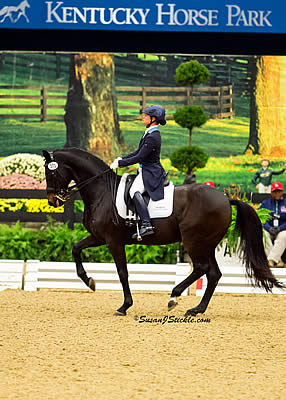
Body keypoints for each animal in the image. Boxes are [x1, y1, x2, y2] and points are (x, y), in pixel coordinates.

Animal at [42, 148, 284, 318]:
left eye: (50, 171)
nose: (53, 200)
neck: (102, 191)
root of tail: (226, 199)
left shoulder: (113, 241)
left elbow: (122, 272)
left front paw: (124, 306)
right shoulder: (99, 237)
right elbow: (76, 249)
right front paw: (89, 281)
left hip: (194, 241)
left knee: (202, 268)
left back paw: (174, 296)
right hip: (206, 244)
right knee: (213, 273)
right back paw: (196, 309)